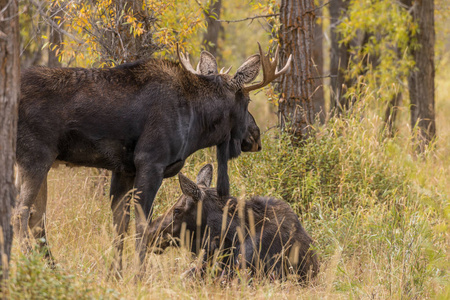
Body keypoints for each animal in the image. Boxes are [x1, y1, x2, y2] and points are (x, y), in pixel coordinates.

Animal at [14, 43, 292, 274]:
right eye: (247, 101)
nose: (255, 137)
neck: (196, 121)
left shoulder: (123, 169)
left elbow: (120, 223)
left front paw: (115, 274)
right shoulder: (151, 162)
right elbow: (141, 226)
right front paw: (139, 275)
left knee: (36, 218)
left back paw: (51, 268)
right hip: (35, 156)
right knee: (20, 214)